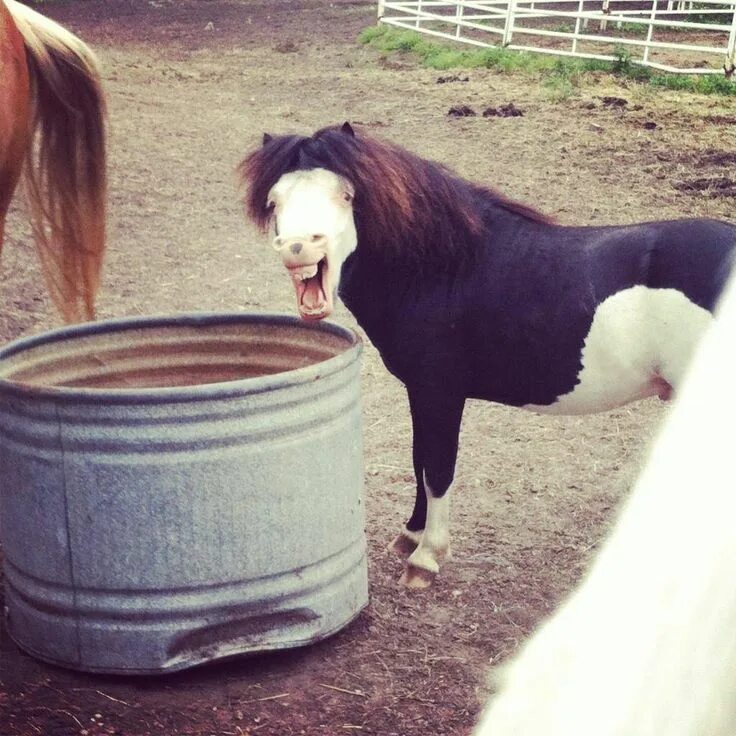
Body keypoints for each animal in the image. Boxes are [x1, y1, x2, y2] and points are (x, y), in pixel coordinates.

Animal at [240, 123, 732, 588]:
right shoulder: (421, 392)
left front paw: (426, 558)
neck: (442, 268)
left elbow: (438, 467)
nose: (300, 247)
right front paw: (411, 536)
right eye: (274, 201)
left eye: (345, 195)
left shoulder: (440, 392)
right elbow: (419, 458)